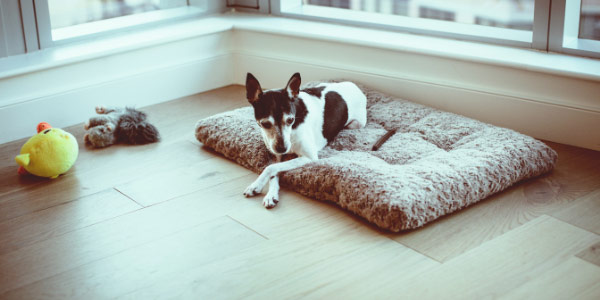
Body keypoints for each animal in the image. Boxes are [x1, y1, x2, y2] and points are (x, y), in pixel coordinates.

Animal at [243, 72, 366, 209]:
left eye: (290, 120)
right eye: (265, 124)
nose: (282, 148)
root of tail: (354, 85)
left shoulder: (309, 157)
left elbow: (270, 168)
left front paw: (256, 184)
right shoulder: (276, 155)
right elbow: (274, 171)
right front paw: (270, 194)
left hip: (356, 124)